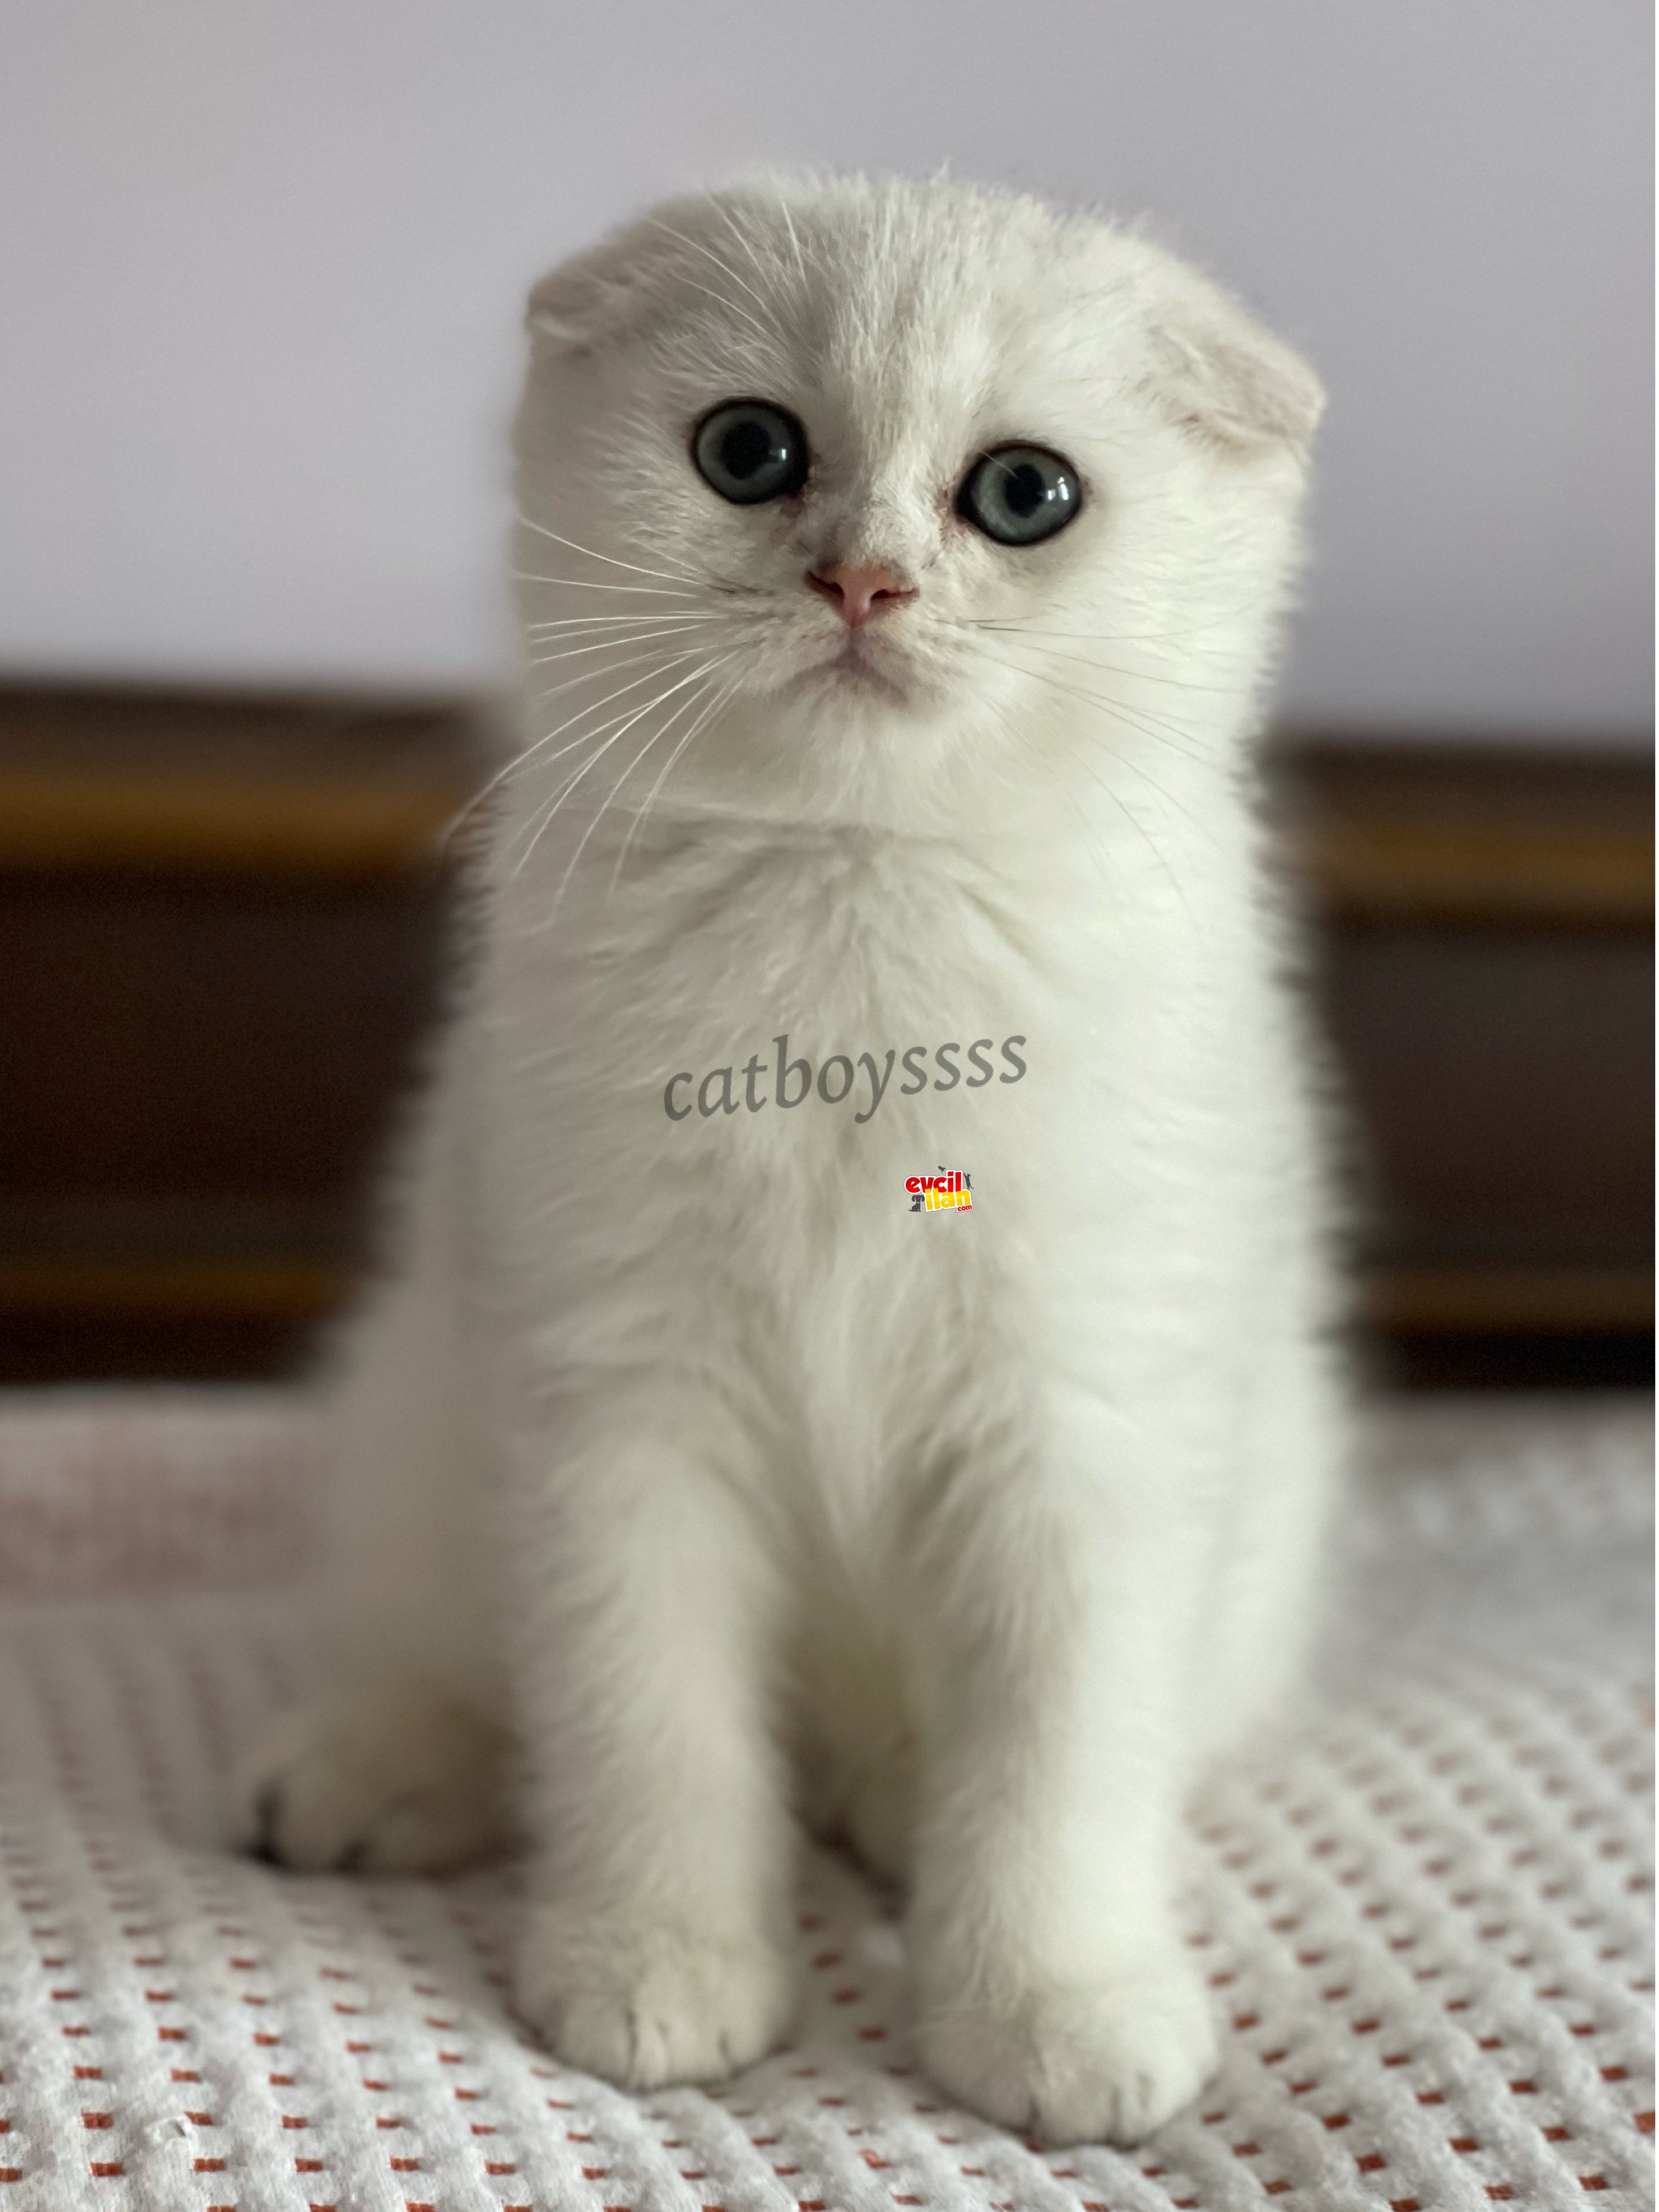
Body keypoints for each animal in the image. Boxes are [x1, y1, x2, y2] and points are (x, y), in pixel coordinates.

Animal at [236, 172, 1353, 2141]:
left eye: (1023, 492)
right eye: (748, 452)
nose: (864, 579)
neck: (856, 913)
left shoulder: (1081, 1419)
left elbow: (1055, 1759)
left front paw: (1052, 2005)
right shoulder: (620, 1407)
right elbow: (647, 1728)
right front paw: (656, 1968)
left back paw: (898, 1813)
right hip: (422, 1412)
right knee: (462, 1661)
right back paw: (371, 1775)